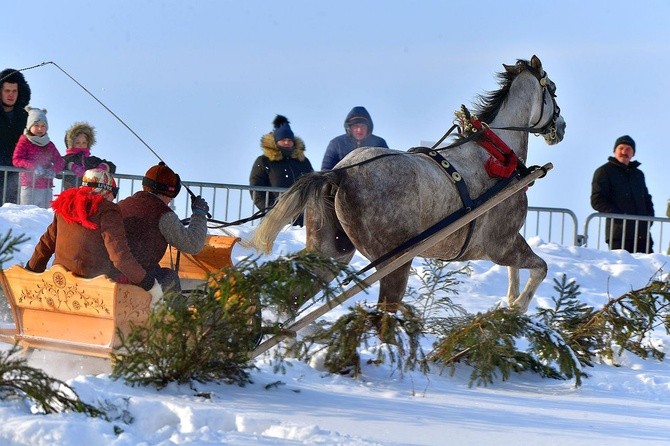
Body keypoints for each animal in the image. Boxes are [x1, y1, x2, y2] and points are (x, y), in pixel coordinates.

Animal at [251, 55, 568, 314]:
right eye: (552, 88)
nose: (561, 127)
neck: (496, 153)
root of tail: (339, 174)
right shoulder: (501, 245)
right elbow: (540, 268)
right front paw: (517, 306)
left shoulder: (506, 245)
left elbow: (518, 273)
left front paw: (511, 301)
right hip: (394, 262)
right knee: (383, 314)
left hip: (330, 252)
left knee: (294, 300)